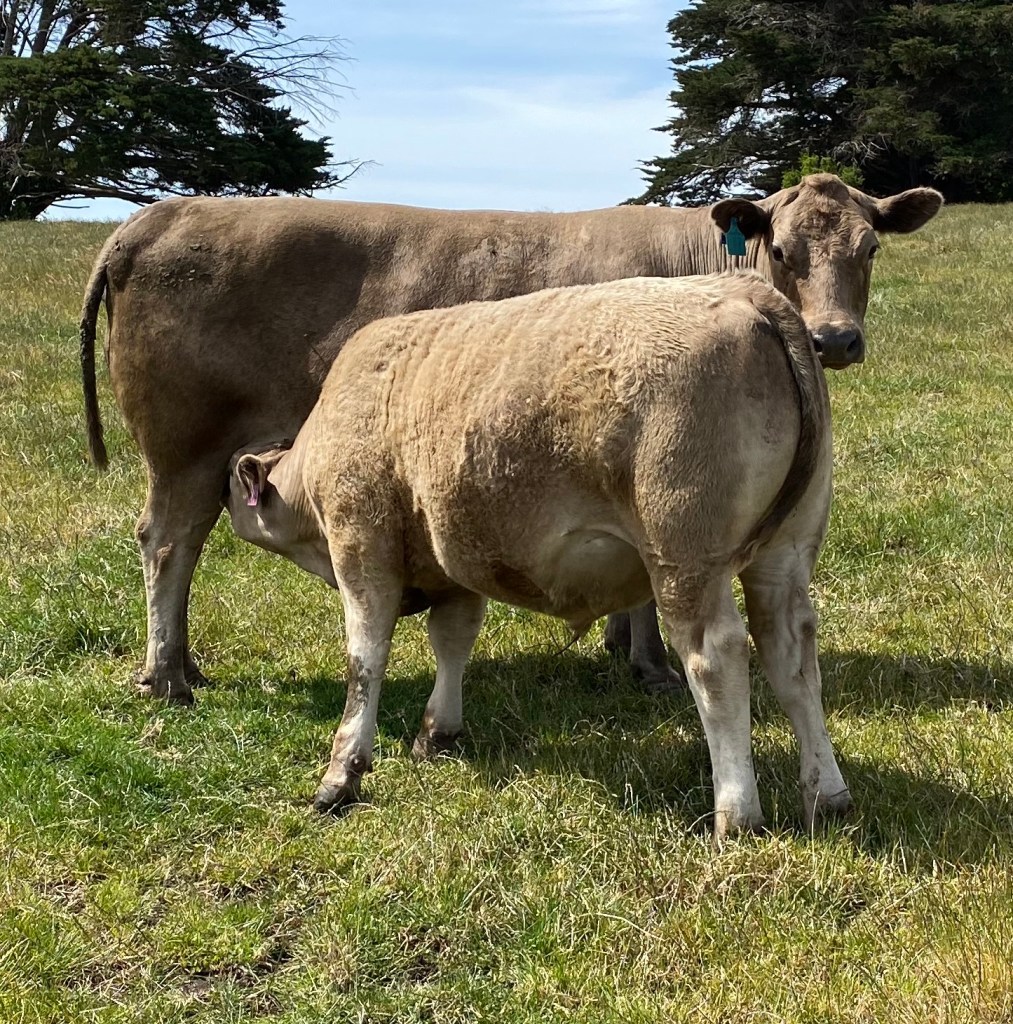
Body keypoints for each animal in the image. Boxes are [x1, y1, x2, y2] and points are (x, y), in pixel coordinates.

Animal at [80, 173, 943, 704]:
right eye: (785, 250)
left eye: (869, 248)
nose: (834, 339)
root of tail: (156, 215)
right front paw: (649, 664)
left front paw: (624, 651)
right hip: (183, 446)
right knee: (167, 542)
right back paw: (167, 676)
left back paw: (182, 664)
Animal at [223, 273, 847, 840]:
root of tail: (748, 292)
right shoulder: (456, 561)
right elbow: (453, 641)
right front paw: (438, 732)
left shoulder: (362, 546)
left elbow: (364, 659)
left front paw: (342, 773)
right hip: (785, 555)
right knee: (791, 653)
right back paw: (827, 794)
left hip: (685, 560)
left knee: (716, 661)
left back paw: (735, 813)